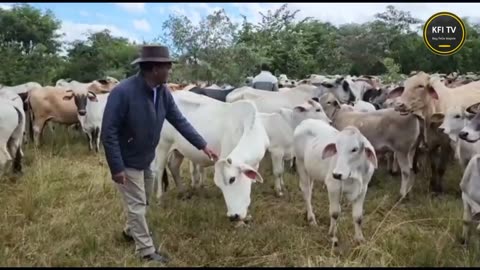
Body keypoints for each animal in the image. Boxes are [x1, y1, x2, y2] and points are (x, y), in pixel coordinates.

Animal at [153, 90, 270, 224]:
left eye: (232, 179)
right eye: (219, 184)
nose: (233, 216)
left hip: (179, 150)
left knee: (173, 166)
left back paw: (183, 193)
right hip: (162, 145)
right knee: (159, 170)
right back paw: (160, 198)